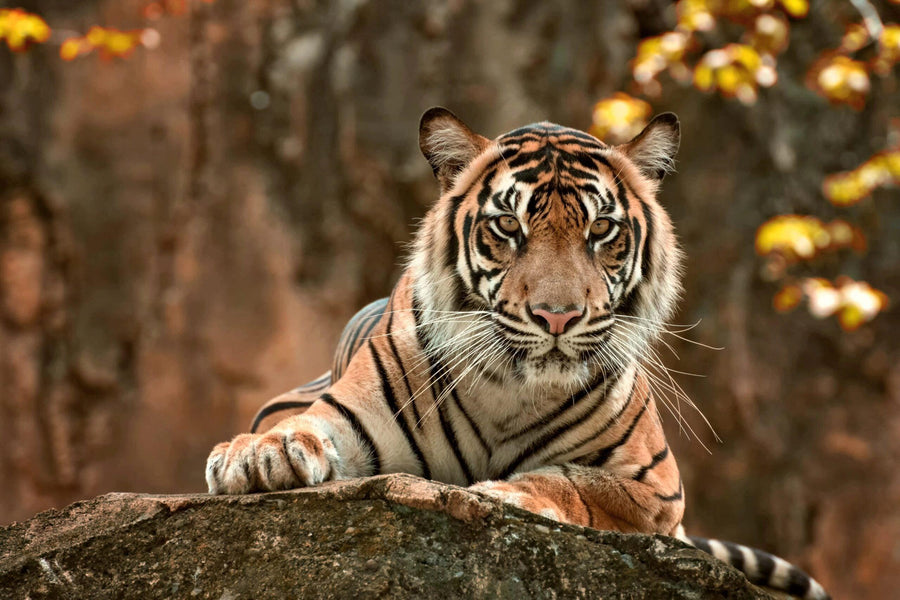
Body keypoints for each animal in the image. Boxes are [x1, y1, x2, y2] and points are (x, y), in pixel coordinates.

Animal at [205, 108, 829, 600]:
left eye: (602, 230)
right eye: (508, 225)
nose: (557, 316)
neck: (510, 389)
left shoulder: (656, 489)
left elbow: (574, 482)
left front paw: (503, 494)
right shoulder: (347, 414)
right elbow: (301, 429)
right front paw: (258, 456)